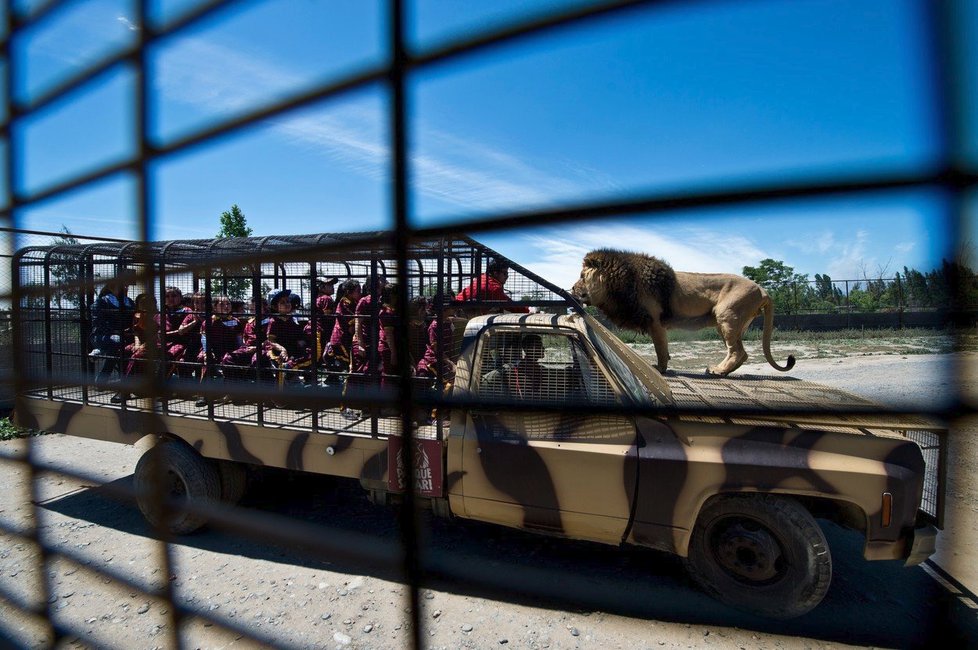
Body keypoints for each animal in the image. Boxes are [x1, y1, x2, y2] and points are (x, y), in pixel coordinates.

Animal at [572, 246, 792, 374]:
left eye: (582, 276)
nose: (572, 288)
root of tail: (763, 290)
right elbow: (663, 349)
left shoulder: (655, 321)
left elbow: (660, 349)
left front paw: (660, 369)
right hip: (727, 323)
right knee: (741, 353)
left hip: (727, 317)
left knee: (737, 352)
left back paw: (717, 371)